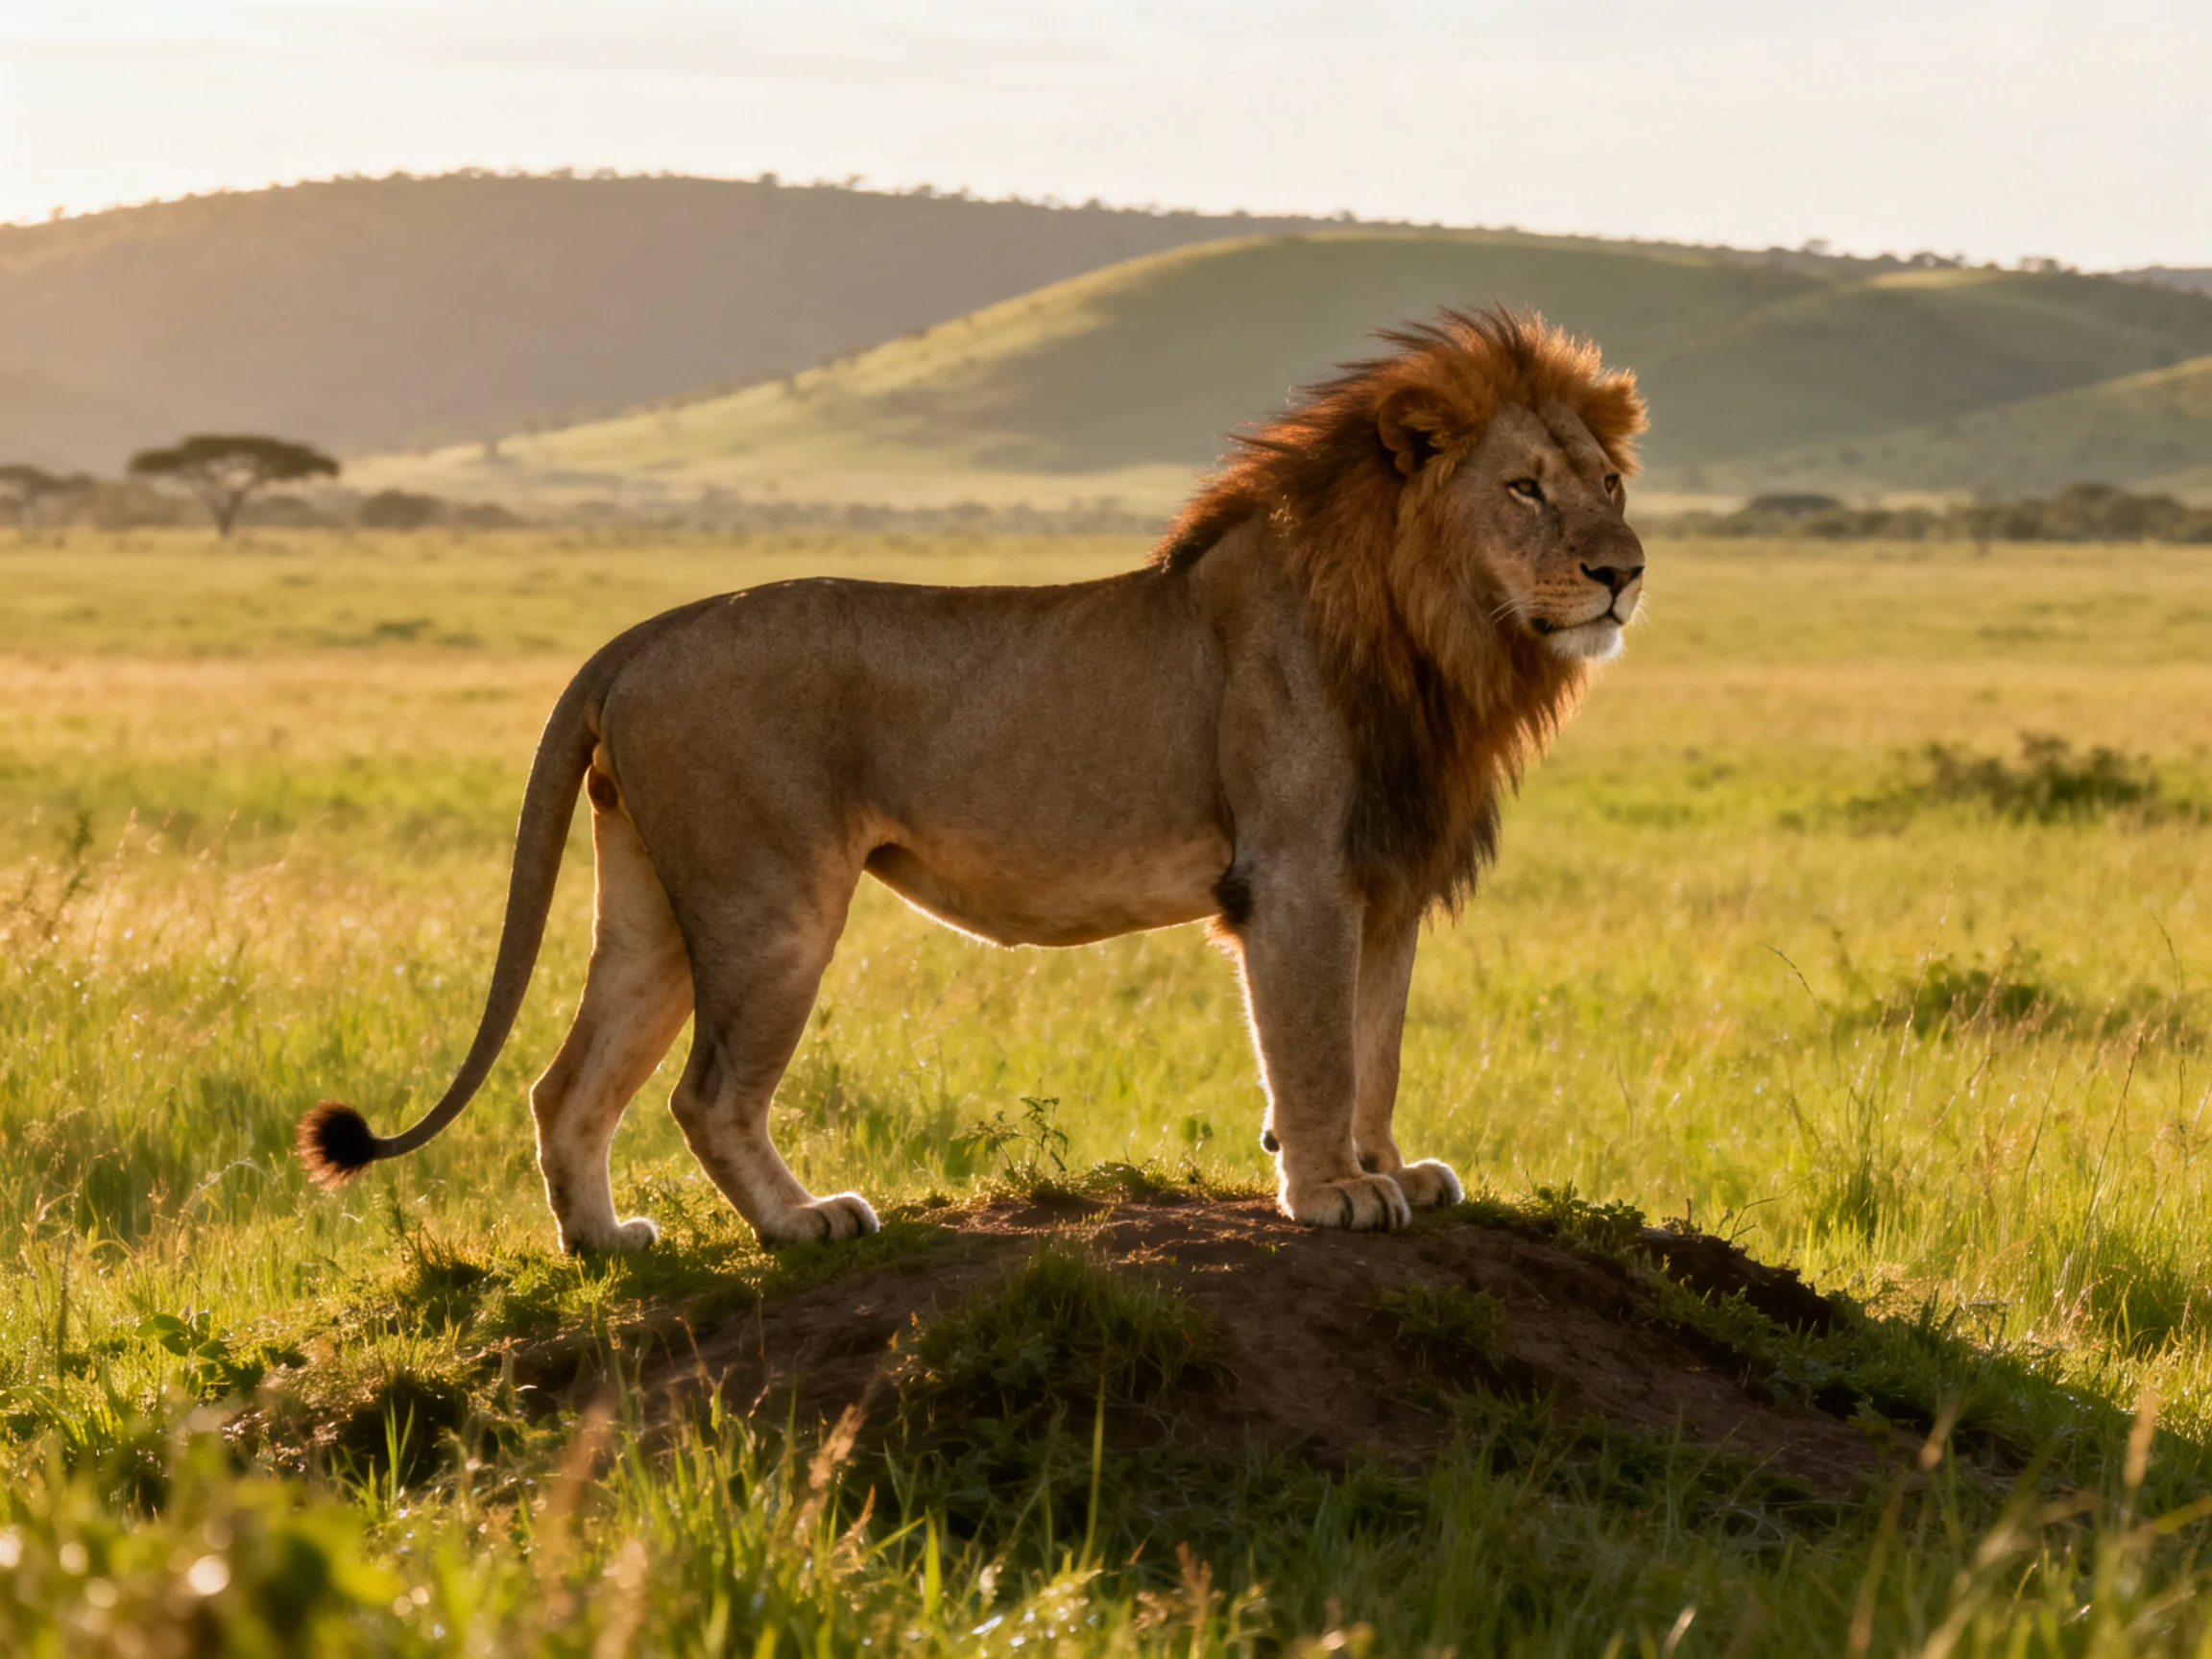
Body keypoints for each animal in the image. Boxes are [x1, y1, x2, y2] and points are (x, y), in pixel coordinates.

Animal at [297, 306, 1647, 1246]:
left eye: (1610, 484)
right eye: (1524, 488)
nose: (1624, 571)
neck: (1436, 641)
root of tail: (644, 633)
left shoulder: (1386, 884)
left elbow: (1378, 1047)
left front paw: (1384, 1167)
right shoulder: (1298, 876)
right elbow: (1315, 1049)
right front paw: (1331, 1193)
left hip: (652, 904)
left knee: (566, 1083)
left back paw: (605, 1245)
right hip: (772, 902)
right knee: (707, 1094)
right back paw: (803, 1224)